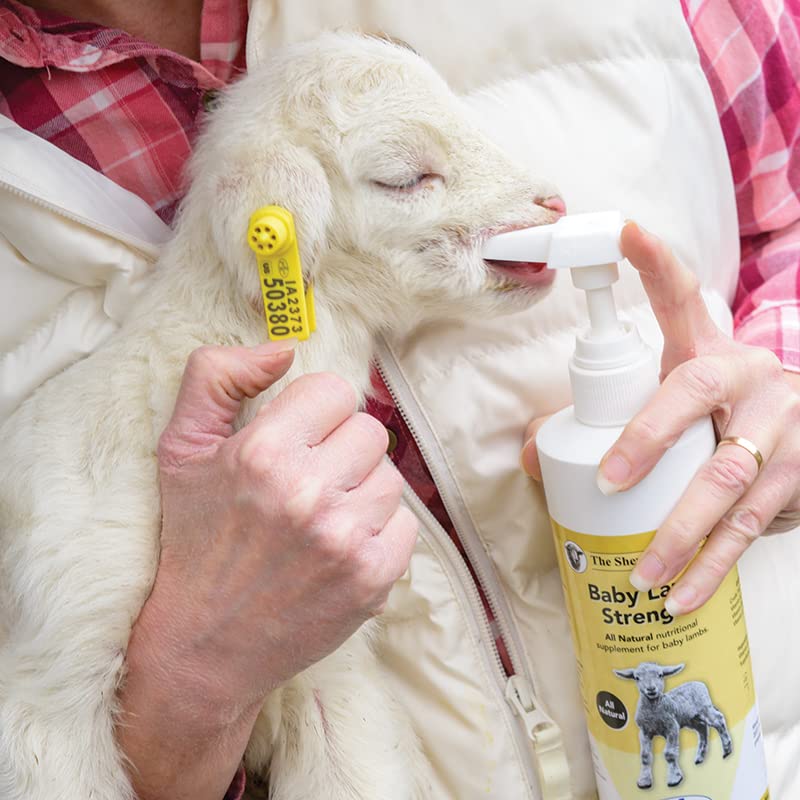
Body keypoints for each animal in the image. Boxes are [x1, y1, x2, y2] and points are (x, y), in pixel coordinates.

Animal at [614, 661, 733, 790]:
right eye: (637, 678)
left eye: (660, 675)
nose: (651, 689)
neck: (653, 712)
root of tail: (699, 683)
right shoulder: (644, 732)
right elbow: (645, 756)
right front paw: (644, 781)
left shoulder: (672, 727)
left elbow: (669, 753)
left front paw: (674, 778)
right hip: (692, 718)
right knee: (702, 728)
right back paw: (699, 758)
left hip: (705, 709)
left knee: (719, 720)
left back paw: (727, 750)